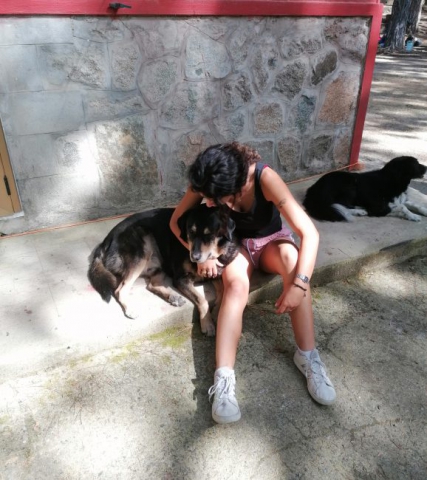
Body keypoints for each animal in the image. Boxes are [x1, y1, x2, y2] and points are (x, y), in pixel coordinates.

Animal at [87, 204, 239, 336]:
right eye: (190, 232)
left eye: (209, 235)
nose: (194, 257)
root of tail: (105, 241)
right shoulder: (181, 279)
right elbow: (202, 300)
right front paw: (207, 324)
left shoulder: (217, 274)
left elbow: (223, 291)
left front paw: (217, 313)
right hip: (142, 250)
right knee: (120, 290)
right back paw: (130, 309)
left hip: (159, 265)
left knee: (151, 285)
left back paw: (173, 297)